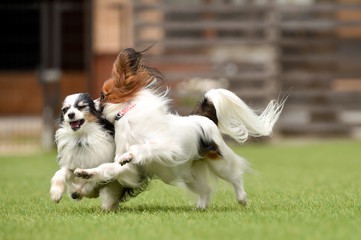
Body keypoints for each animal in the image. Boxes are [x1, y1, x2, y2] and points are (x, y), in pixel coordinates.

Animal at [75, 48, 284, 208]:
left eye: (103, 95)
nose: (91, 104)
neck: (127, 117)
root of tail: (203, 118)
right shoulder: (130, 170)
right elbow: (108, 168)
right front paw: (87, 173)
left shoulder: (169, 147)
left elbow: (142, 147)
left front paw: (131, 153)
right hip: (188, 174)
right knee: (206, 190)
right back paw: (200, 207)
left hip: (219, 163)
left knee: (236, 177)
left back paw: (241, 199)